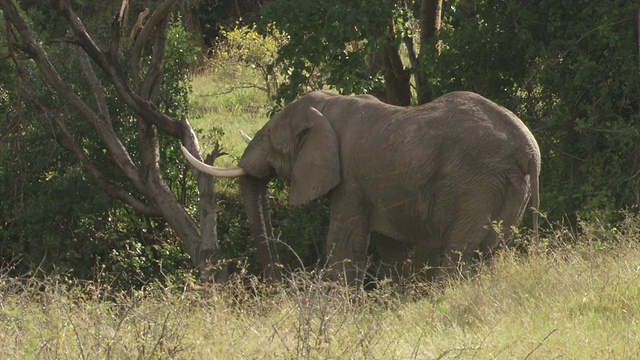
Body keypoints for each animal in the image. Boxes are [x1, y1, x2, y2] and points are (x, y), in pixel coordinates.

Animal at [181, 90, 540, 286]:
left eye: (271, 137)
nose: (278, 285)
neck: (329, 105)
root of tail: (529, 149)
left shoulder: (350, 180)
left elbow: (342, 245)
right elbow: (390, 247)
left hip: (474, 183)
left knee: (461, 252)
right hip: (508, 187)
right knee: (490, 251)